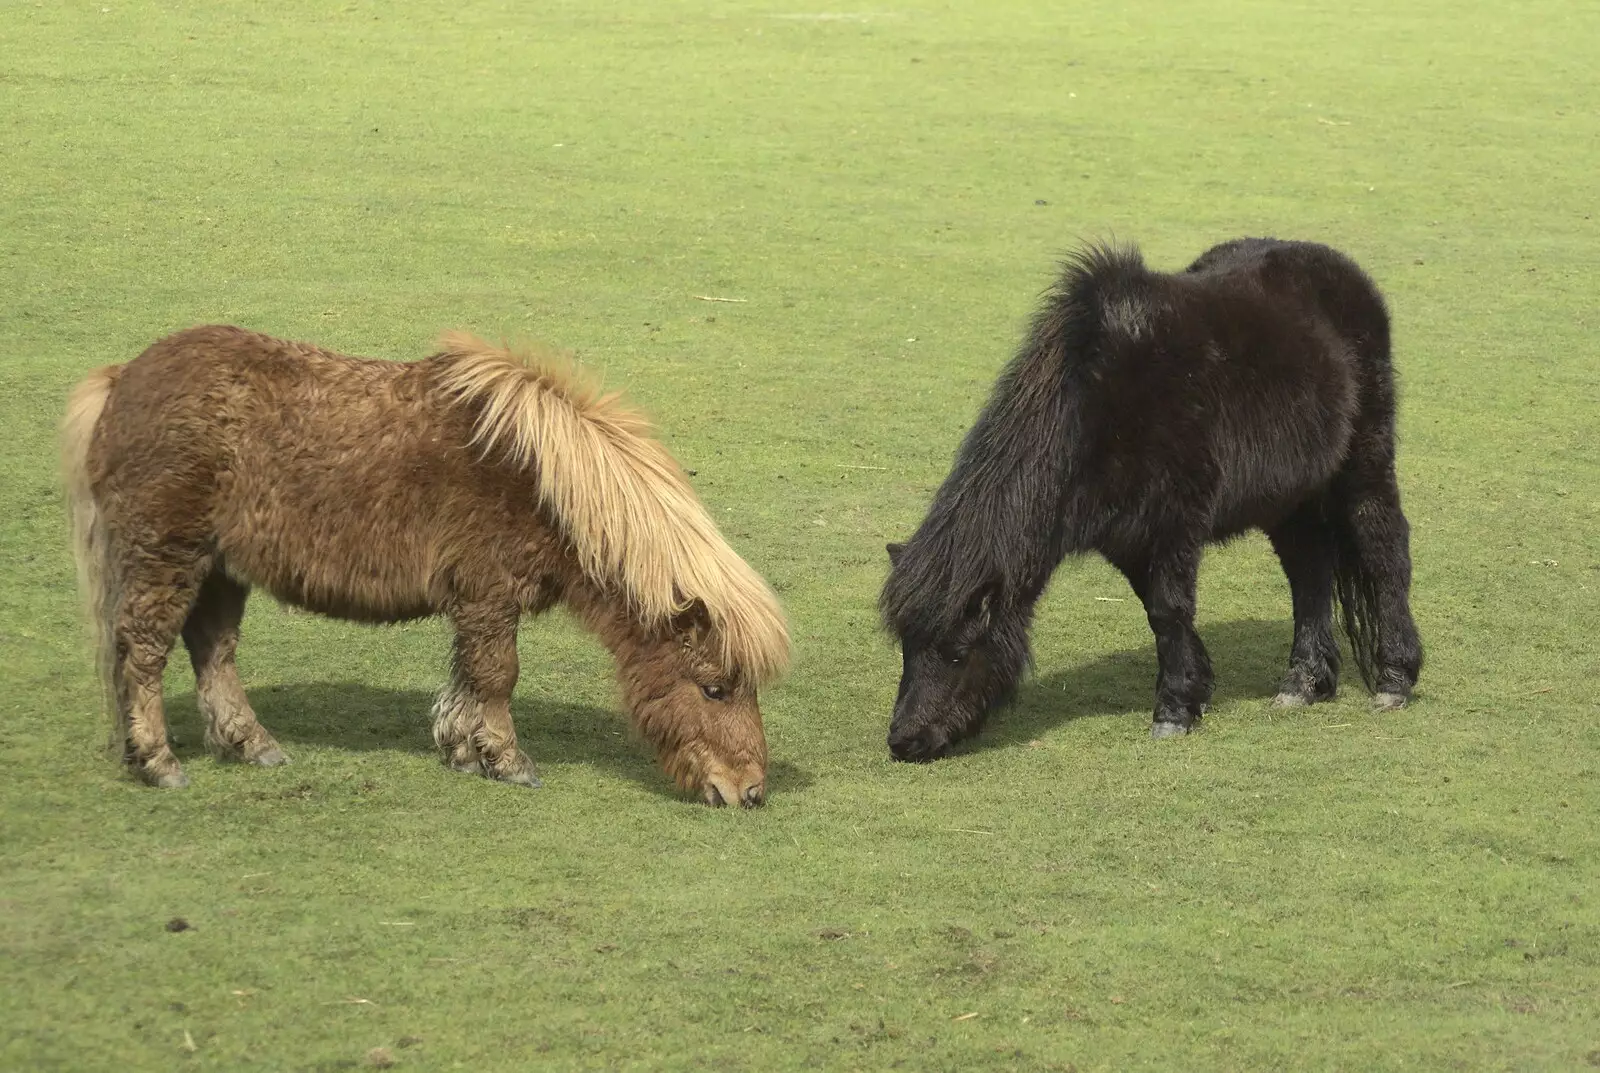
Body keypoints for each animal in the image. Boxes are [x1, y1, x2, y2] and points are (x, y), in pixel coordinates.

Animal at [65, 327, 790, 805]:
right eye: (714, 689)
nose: (749, 790)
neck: (539, 480)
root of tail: (122, 378)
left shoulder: (477, 600)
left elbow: (471, 675)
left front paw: (464, 751)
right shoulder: (489, 593)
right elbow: (496, 674)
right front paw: (507, 760)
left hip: (220, 569)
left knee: (213, 650)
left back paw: (251, 745)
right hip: (168, 555)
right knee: (144, 650)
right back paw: (156, 761)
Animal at [889, 239, 1427, 761]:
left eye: (957, 653)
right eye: (905, 646)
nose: (905, 741)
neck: (1100, 407)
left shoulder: (1174, 527)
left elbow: (1168, 611)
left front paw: (1172, 712)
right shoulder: (1128, 538)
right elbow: (1156, 609)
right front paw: (1197, 687)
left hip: (1365, 465)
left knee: (1384, 549)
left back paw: (1394, 679)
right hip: (1290, 498)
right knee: (1309, 571)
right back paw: (1304, 683)